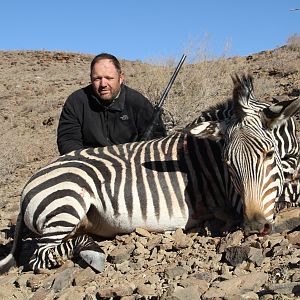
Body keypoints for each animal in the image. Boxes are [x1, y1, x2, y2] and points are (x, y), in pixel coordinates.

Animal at [0, 73, 300, 274]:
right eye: (227, 165)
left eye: (268, 154)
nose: (254, 226)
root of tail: (28, 185)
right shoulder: (237, 197)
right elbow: (292, 188)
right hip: (67, 202)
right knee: (41, 257)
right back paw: (92, 254)